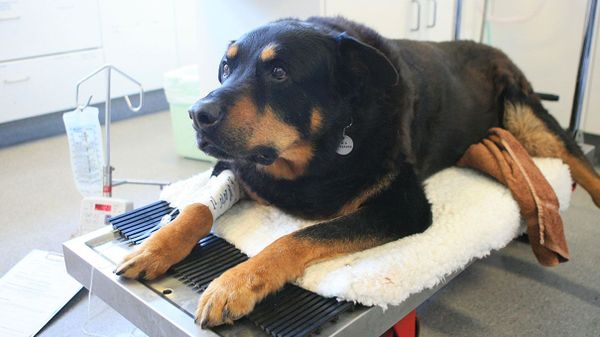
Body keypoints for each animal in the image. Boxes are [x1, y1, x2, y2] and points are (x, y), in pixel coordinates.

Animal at [116, 17, 600, 326]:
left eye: (279, 72)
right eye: (224, 67)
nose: (198, 114)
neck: (316, 153)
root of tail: (490, 47)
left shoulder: (405, 207)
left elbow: (295, 238)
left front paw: (235, 283)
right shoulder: (233, 163)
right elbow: (198, 208)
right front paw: (157, 246)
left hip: (528, 119)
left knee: (580, 161)